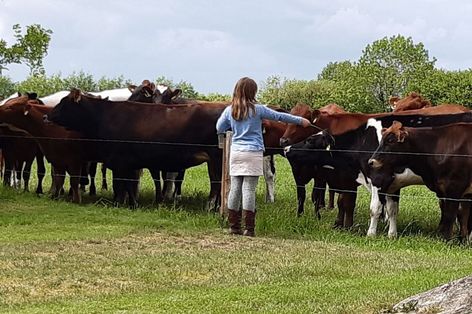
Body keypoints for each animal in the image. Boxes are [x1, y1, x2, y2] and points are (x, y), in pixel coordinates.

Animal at [46, 89, 227, 210]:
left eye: (64, 103)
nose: (46, 116)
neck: (104, 116)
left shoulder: (120, 161)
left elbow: (122, 184)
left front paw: (122, 203)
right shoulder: (127, 163)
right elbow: (127, 184)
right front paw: (130, 203)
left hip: (216, 158)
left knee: (217, 183)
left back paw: (211, 207)